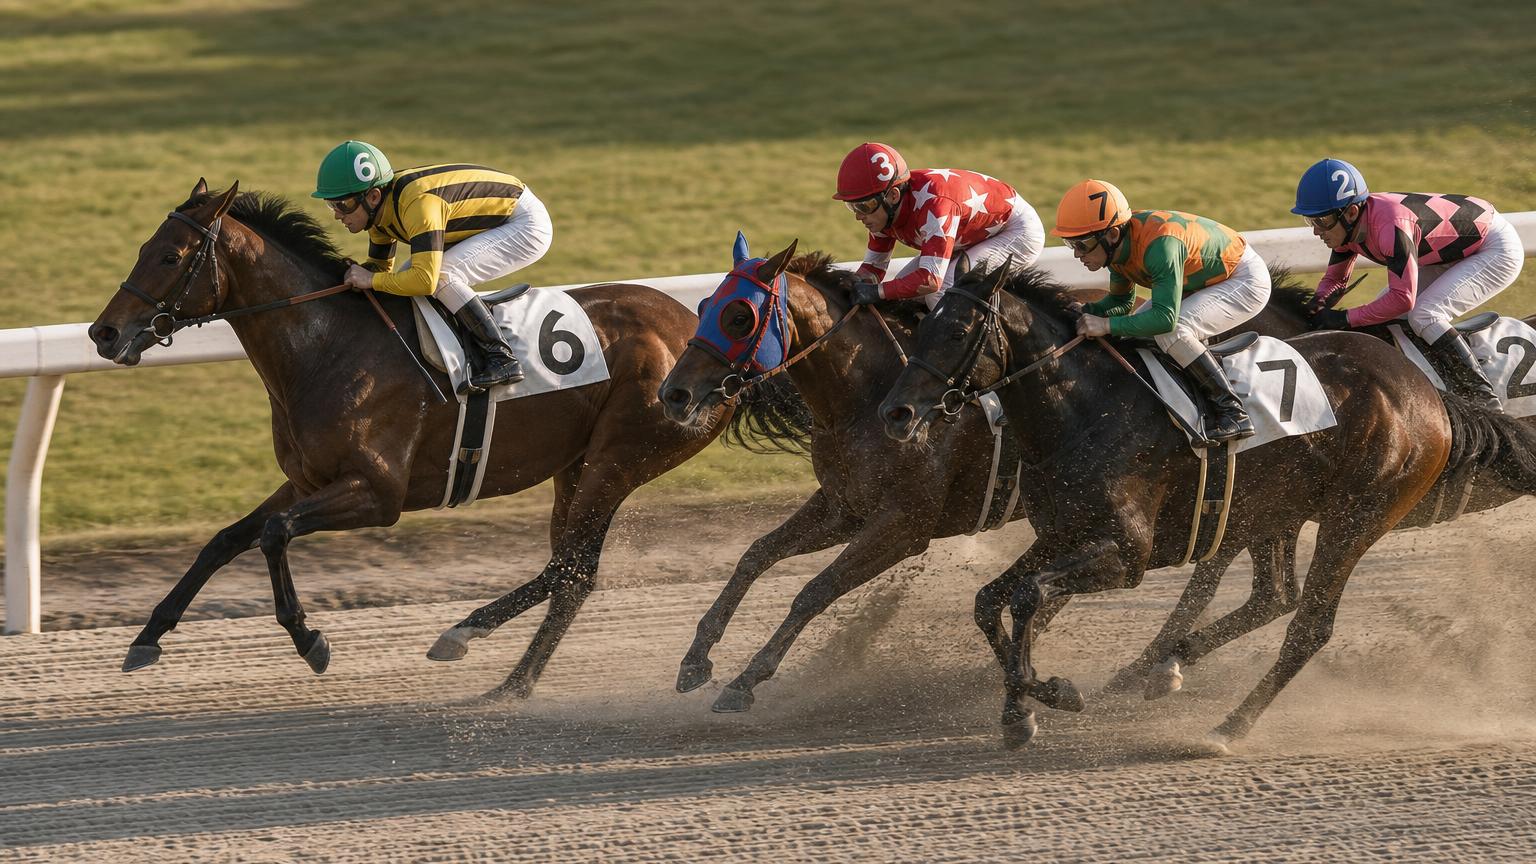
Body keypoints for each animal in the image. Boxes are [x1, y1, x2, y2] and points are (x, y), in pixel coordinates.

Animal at [88, 179, 808, 697]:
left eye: (171, 256)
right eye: (144, 247)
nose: (103, 333)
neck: (325, 347)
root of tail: (709, 340)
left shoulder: (377, 493)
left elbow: (272, 535)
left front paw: (309, 639)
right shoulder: (308, 479)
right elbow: (227, 538)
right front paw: (147, 636)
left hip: (621, 458)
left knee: (574, 571)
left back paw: (505, 680)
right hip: (577, 464)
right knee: (567, 568)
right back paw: (474, 644)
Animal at [877, 261, 1536, 749]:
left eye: (956, 333)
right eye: (919, 328)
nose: (896, 413)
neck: (1086, 410)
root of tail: (1430, 395)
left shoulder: (1128, 553)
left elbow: (1029, 596)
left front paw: (1038, 700)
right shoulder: (1063, 534)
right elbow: (992, 601)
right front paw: (1033, 701)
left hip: (1356, 519)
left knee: (1309, 626)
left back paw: (1227, 727)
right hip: (1281, 510)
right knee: (1276, 596)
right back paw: (1171, 667)